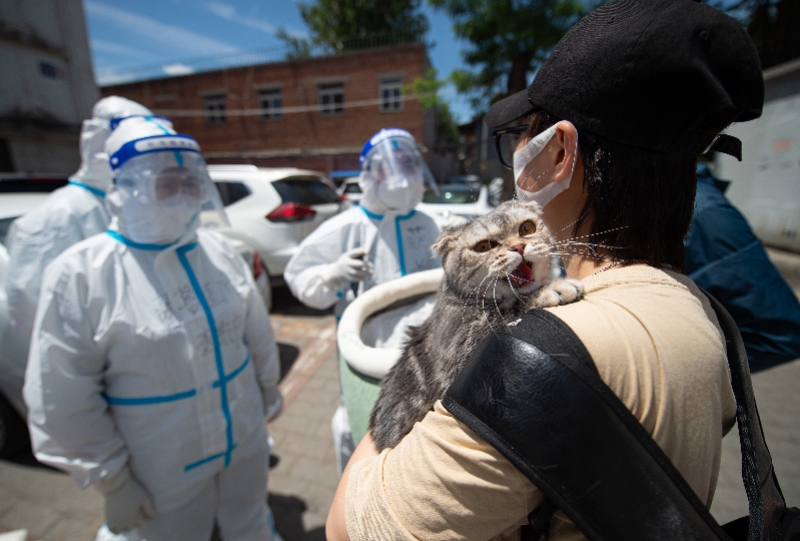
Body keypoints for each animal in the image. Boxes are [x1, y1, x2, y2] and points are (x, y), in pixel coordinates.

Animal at [368, 200, 580, 450]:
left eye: (527, 228)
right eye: (484, 246)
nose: (518, 247)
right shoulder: (459, 361)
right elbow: (509, 310)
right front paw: (550, 290)